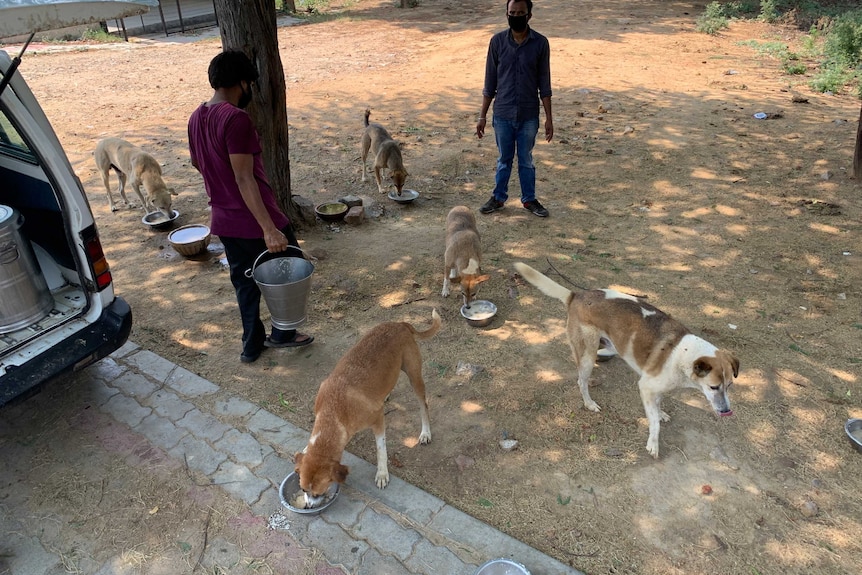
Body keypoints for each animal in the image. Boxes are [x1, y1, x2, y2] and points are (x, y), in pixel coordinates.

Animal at [296, 310, 446, 504]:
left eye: (317, 494)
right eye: (303, 489)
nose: (307, 507)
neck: (333, 411)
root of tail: (400, 324)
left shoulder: (378, 419)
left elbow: (381, 449)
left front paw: (382, 474)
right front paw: (305, 450)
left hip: (414, 376)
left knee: (423, 406)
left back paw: (425, 432)